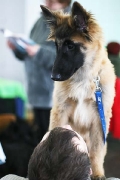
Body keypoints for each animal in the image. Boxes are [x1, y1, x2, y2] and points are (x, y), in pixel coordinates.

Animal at [40, 1, 116, 180]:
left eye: (70, 46)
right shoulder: (61, 109)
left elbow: (96, 150)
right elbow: (55, 134)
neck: (85, 77)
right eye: (57, 46)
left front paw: (97, 173)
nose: (53, 77)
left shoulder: (99, 118)